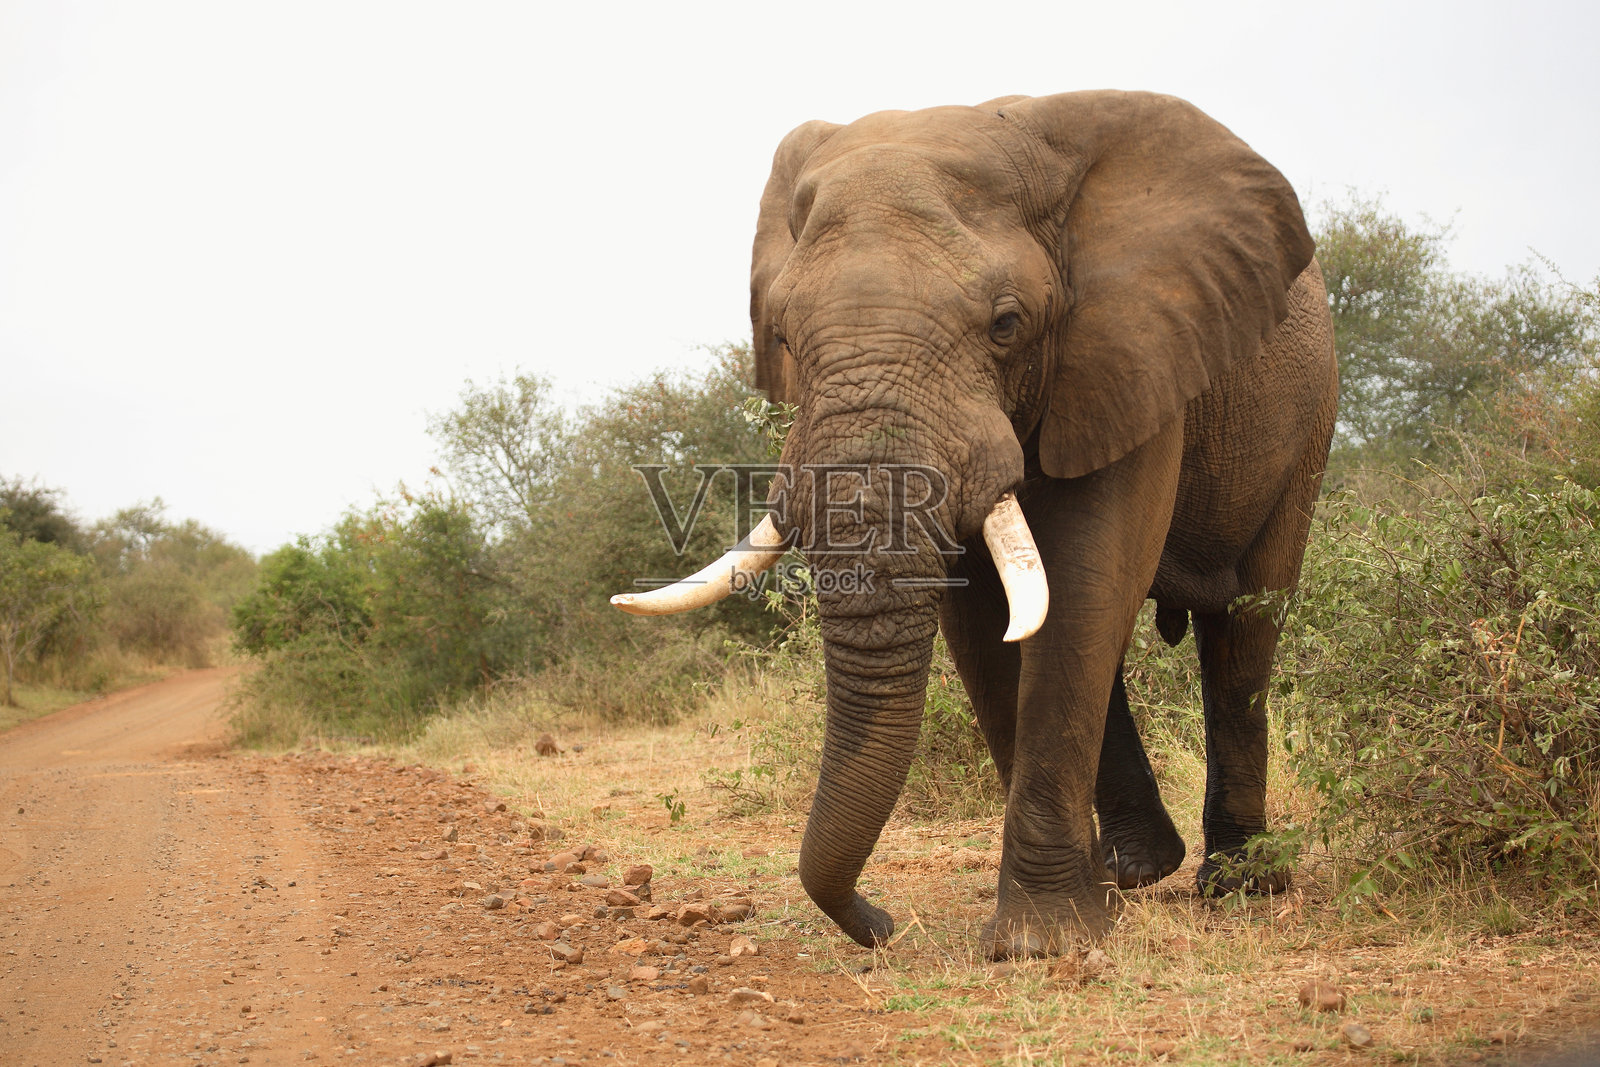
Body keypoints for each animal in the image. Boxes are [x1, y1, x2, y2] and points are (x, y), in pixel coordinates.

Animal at [612, 91, 1337, 959]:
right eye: (781, 336)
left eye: (1006, 323)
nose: (881, 923)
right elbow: (989, 621)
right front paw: (1074, 917)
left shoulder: (1132, 347)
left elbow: (1085, 582)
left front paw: (1039, 944)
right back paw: (1132, 872)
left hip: (1307, 425)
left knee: (1242, 631)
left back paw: (1239, 883)